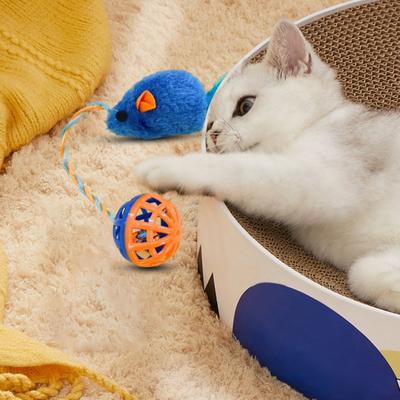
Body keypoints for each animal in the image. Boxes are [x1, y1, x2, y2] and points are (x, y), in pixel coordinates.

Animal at [136, 20, 400, 313]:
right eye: (210, 124)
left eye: (245, 105)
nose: (213, 135)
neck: (319, 122)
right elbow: (363, 273)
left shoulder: (323, 175)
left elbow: (235, 168)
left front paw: (169, 167)